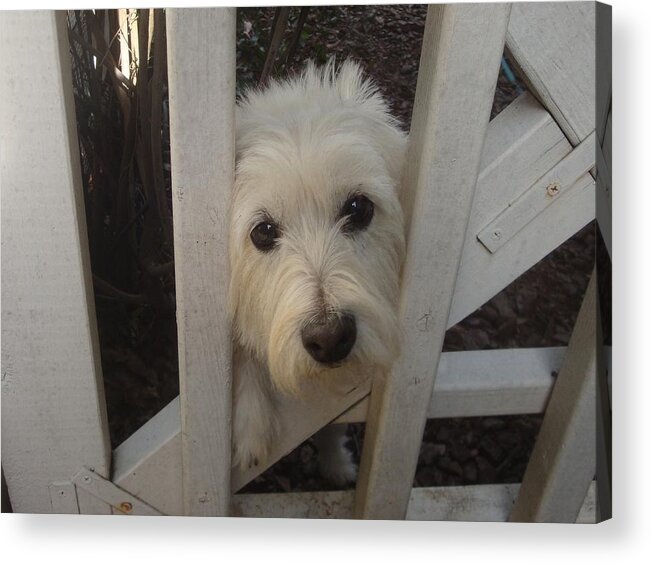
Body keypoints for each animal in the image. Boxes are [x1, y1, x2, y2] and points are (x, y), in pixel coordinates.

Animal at [227, 61, 404, 484]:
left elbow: (331, 424)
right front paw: (251, 424)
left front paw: (336, 464)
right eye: (263, 231)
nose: (330, 338)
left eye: (358, 208)